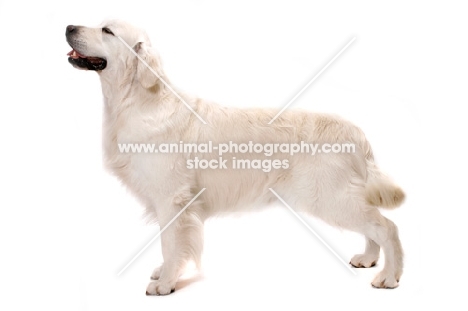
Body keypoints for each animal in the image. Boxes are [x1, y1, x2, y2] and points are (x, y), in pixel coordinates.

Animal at [66, 18, 406, 294]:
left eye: (107, 31)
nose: (68, 27)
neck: (137, 101)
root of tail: (355, 131)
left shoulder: (172, 199)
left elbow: (170, 244)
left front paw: (166, 283)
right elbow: (171, 245)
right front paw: (165, 274)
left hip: (328, 197)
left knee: (386, 226)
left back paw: (389, 276)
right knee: (373, 226)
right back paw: (368, 259)